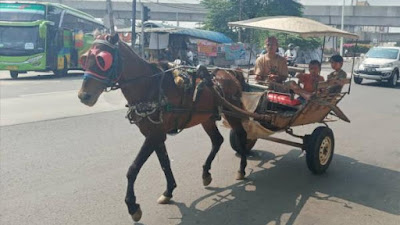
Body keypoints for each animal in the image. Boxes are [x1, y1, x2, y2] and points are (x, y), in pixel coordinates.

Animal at [76, 33, 248, 221]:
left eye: (102, 60)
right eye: (85, 59)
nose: (83, 96)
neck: (149, 87)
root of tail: (231, 72)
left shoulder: (154, 135)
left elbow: (133, 169)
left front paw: (132, 206)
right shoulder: (155, 135)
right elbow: (165, 163)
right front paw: (168, 191)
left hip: (232, 111)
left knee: (241, 134)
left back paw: (242, 169)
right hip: (207, 118)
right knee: (217, 140)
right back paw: (206, 173)